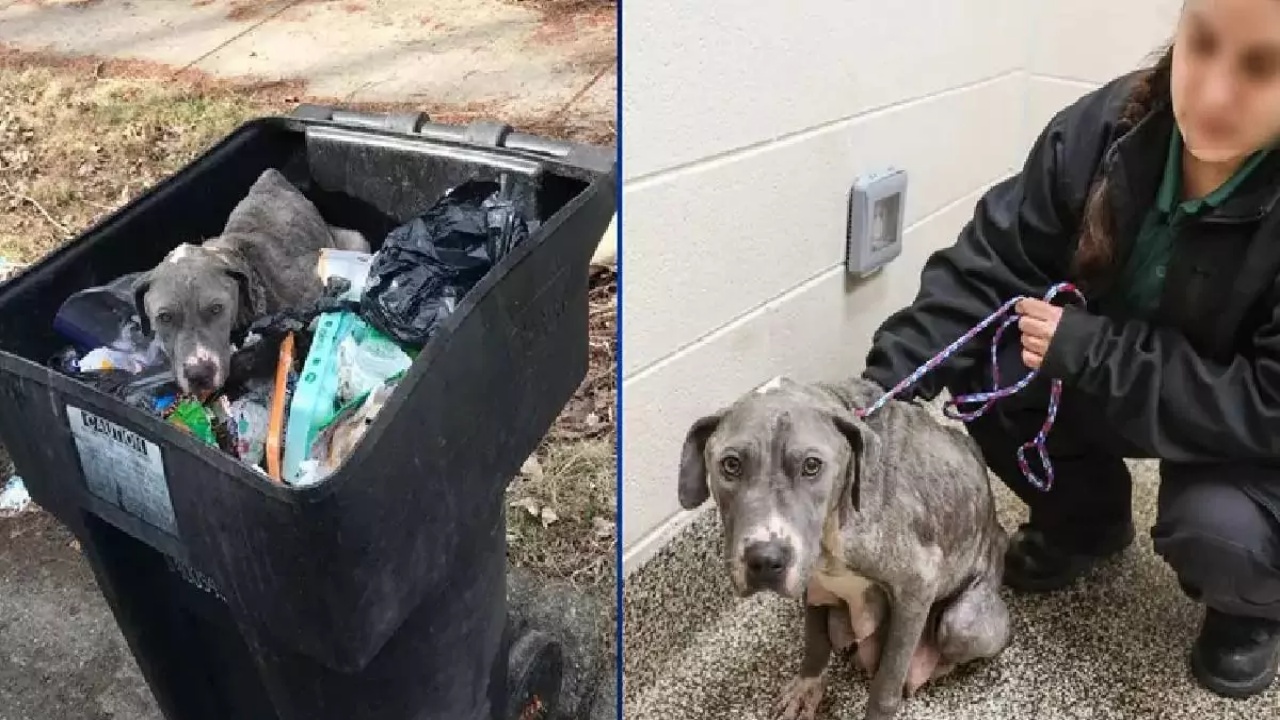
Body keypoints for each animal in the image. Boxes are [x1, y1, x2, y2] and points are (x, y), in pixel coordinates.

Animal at [680, 371, 1008, 717]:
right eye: (730, 465)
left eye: (812, 465)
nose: (765, 560)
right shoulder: (813, 584)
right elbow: (814, 641)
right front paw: (807, 688)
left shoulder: (917, 587)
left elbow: (886, 683)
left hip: (963, 626)